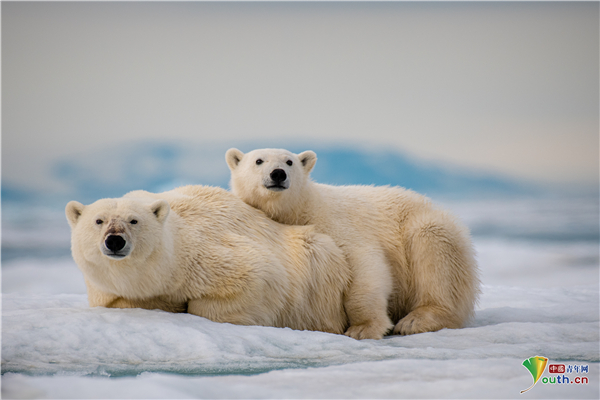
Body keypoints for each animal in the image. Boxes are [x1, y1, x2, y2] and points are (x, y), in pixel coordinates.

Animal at [64, 185, 352, 334]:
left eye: (133, 220)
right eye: (99, 220)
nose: (114, 240)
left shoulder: (204, 256)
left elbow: (257, 276)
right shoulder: (103, 288)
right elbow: (118, 302)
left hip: (317, 265)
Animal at [227, 148, 480, 340]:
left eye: (289, 161)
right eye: (258, 160)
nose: (278, 174)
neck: (303, 208)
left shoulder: (338, 225)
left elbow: (366, 267)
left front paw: (363, 328)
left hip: (429, 229)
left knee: (434, 254)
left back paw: (415, 320)